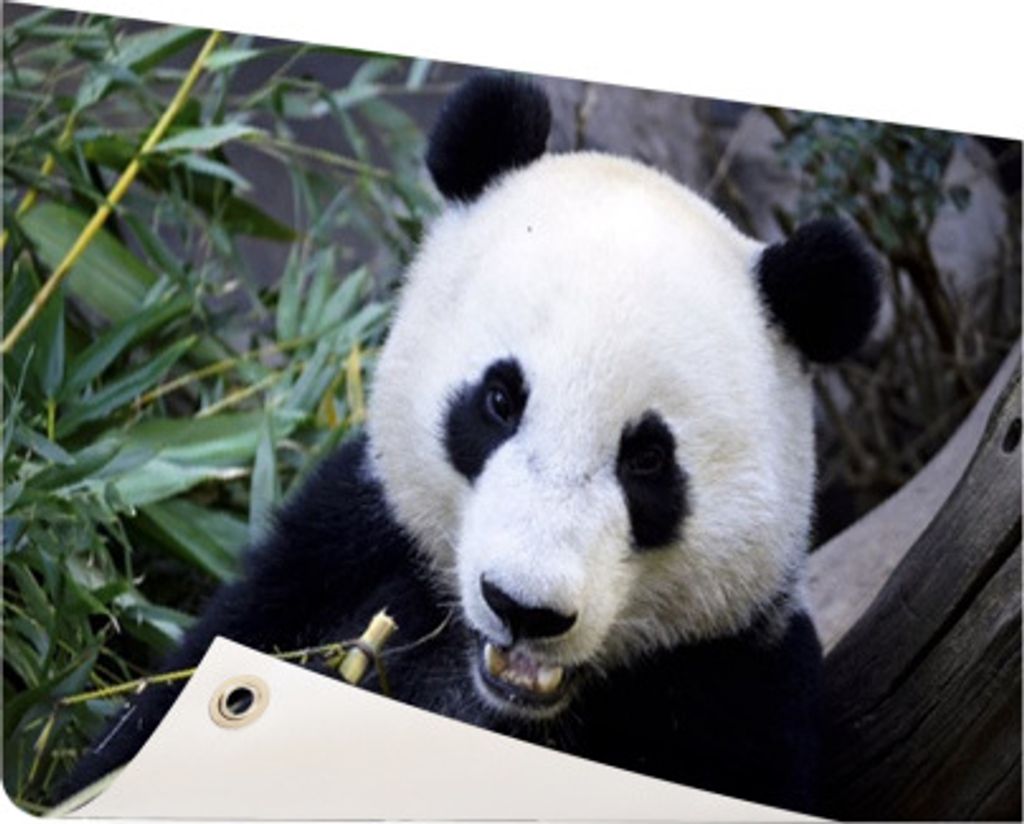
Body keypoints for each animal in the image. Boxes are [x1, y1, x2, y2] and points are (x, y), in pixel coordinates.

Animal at [63, 73, 879, 814]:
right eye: (499, 402)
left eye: (648, 459)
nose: (524, 608)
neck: (499, 698)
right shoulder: (335, 557)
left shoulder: (734, 688)